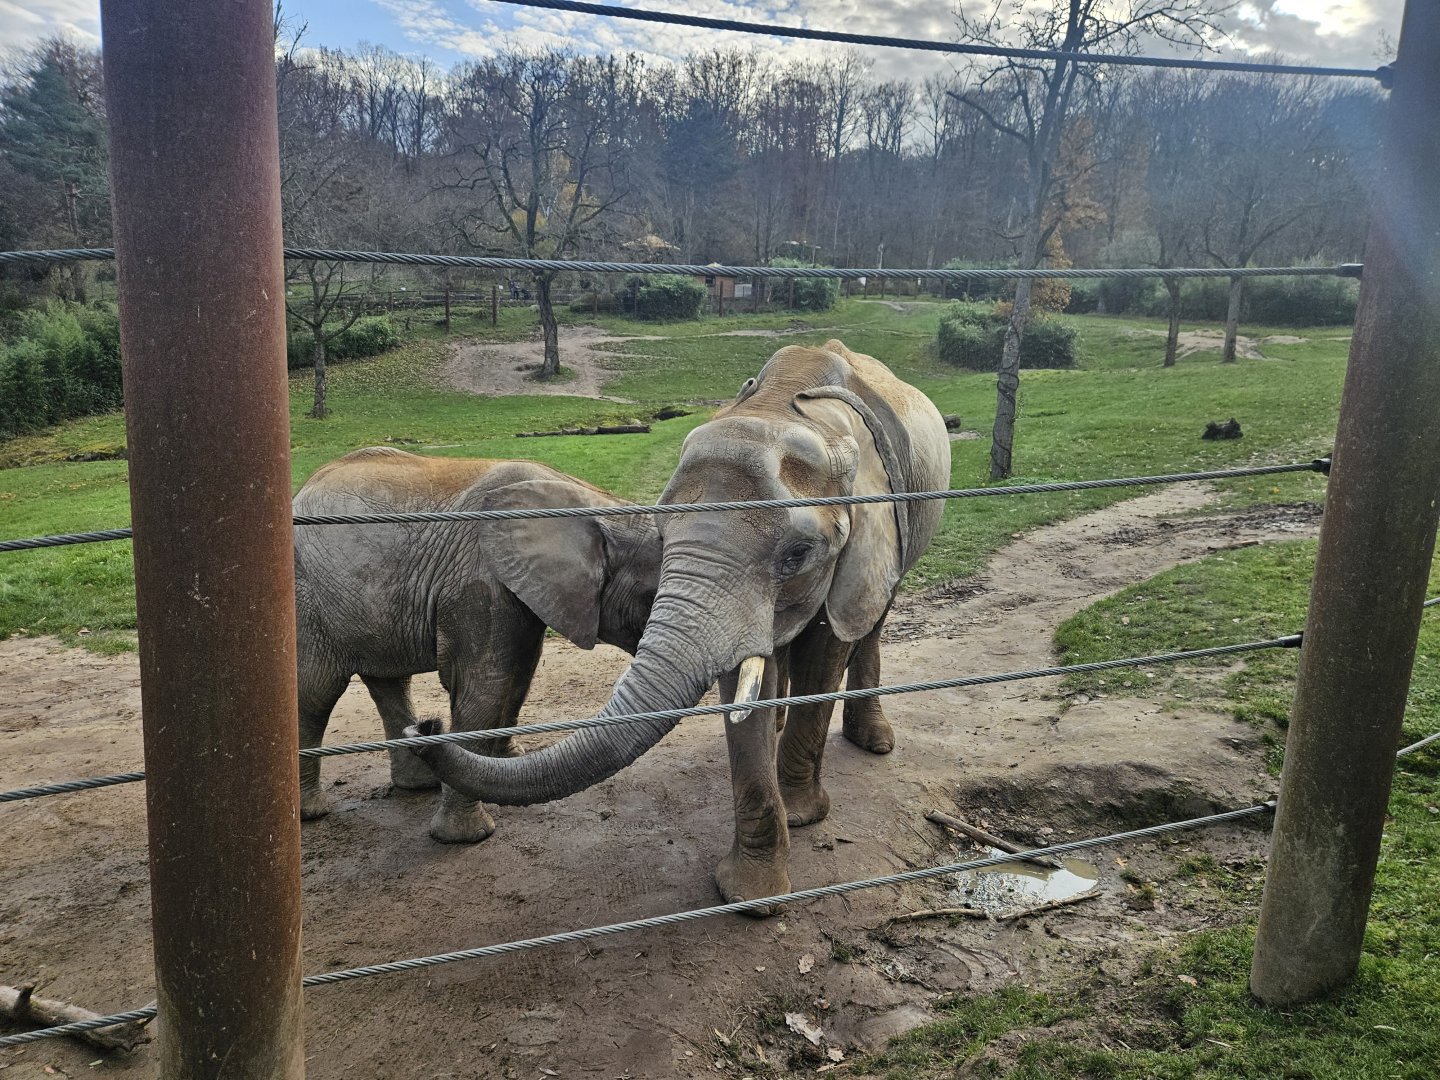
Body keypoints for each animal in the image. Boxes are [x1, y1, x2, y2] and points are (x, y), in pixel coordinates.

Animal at [293, 447, 662, 843]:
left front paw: (508, 758)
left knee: (390, 681)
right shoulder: (477, 583)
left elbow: (521, 671)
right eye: (651, 597)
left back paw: (418, 782)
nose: (429, 728)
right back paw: (312, 813)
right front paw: (467, 837)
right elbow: (484, 686)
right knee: (315, 692)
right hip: (307, 600)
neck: (599, 506)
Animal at [406, 341, 952, 905]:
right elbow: (745, 684)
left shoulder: (871, 529)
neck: (788, 409)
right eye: (663, 536)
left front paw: (802, 819)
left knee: (872, 620)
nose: (426, 724)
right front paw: (751, 894)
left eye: (798, 554)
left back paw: (873, 742)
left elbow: (825, 654)